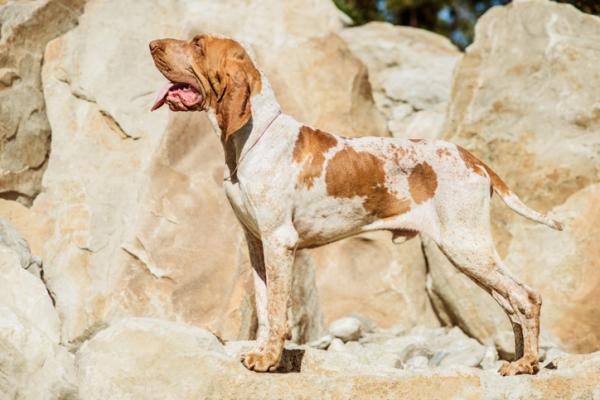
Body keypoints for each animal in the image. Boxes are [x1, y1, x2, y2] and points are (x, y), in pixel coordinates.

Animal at [149, 33, 564, 376]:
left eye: (197, 44)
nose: (152, 44)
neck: (251, 139)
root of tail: (474, 159)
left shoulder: (279, 241)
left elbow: (279, 310)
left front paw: (268, 361)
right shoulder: (256, 242)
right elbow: (267, 309)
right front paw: (264, 353)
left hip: (466, 246)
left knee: (527, 296)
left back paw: (526, 364)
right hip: (469, 253)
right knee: (511, 303)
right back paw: (520, 360)